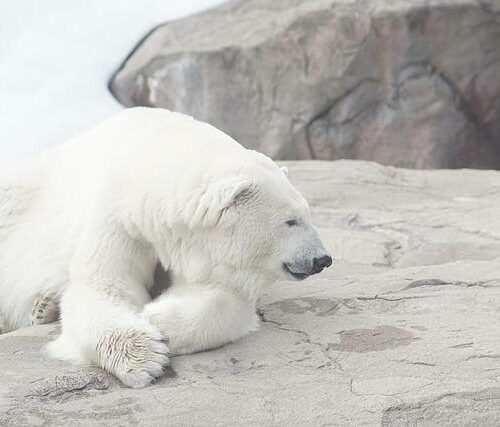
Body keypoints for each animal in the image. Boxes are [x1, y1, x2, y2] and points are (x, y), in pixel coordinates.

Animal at [1, 107, 334, 388]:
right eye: (291, 221)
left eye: (308, 214)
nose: (323, 259)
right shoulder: (120, 218)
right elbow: (104, 285)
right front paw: (144, 356)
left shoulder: (204, 252)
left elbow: (223, 297)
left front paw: (156, 318)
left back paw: (43, 307)